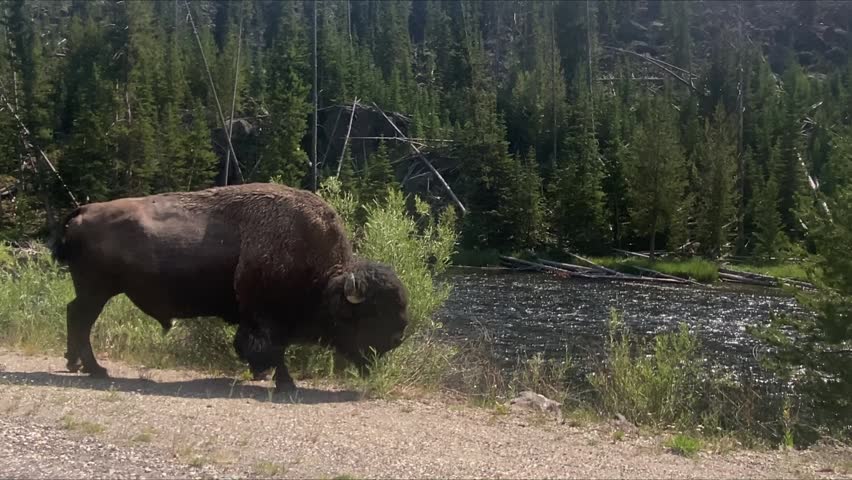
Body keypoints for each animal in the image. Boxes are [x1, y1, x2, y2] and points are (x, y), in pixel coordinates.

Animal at [50, 182, 409, 392]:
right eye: (372, 313)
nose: (396, 339)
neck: (325, 277)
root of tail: (85, 209)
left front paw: (264, 375)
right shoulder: (266, 319)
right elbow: (272, 350)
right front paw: (283, 382)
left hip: (94, 292)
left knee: (75, 316)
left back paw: (77, 365)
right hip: (96, 292)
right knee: (80, 320)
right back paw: (96, 370)